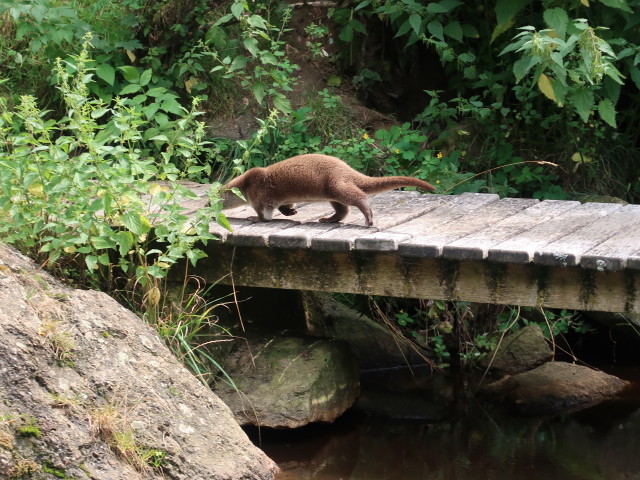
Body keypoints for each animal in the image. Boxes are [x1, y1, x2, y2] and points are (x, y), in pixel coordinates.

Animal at [219, 155, 436, 228]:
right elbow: (285, 205)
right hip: (333, 192)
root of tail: (346, 168)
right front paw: (291, 211)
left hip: (337, 184)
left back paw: (368, 218)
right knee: (343, 210)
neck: (246, 185)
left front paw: (253, 218)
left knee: (358, 198)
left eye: (215, 201)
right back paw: (327, 219)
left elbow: (265, 215)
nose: (210, 208)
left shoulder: (260, 196)